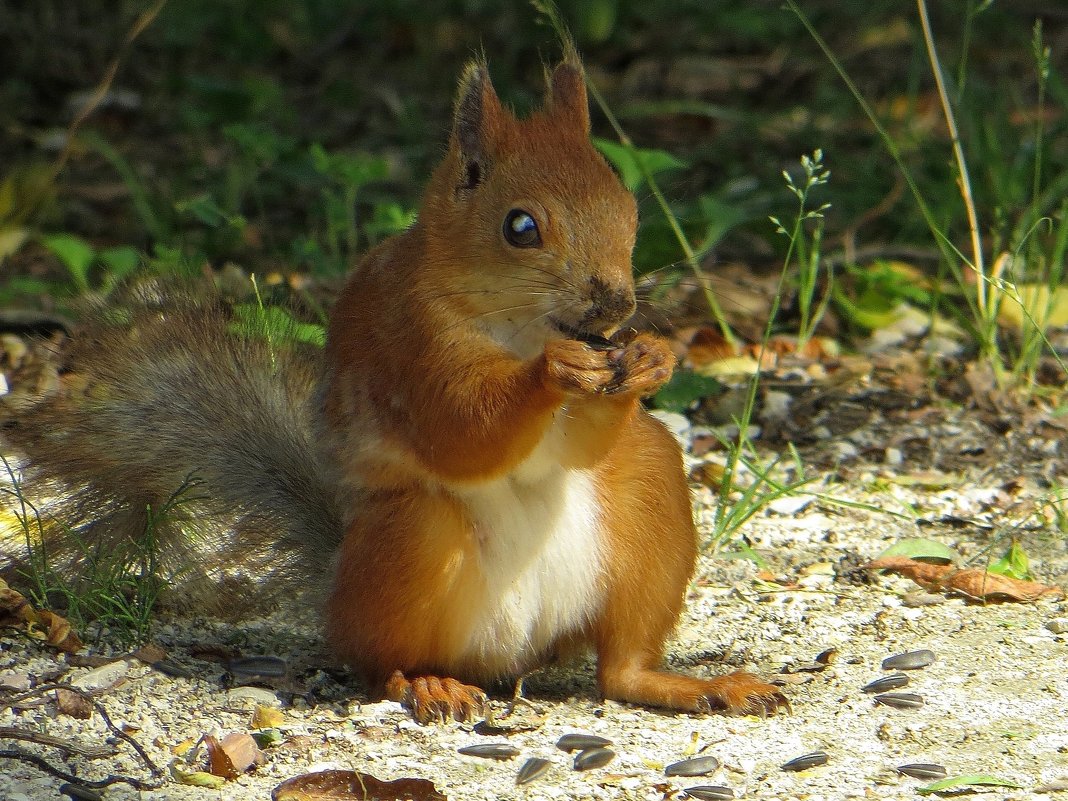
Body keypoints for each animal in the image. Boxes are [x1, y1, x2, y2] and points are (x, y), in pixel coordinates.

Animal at [0, 53, 786, 726]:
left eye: (628, 207)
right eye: (520, 226)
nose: (614, 306)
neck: (517, 327)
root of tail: (513, 653)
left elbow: (583, 441)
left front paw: (650, 357)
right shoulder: (407, 343)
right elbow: (460, 430)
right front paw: (553, 371)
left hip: (646, 496)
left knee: (618, 667)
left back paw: (696, 683)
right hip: (410, 534)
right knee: (376, 659)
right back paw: (426, 682)